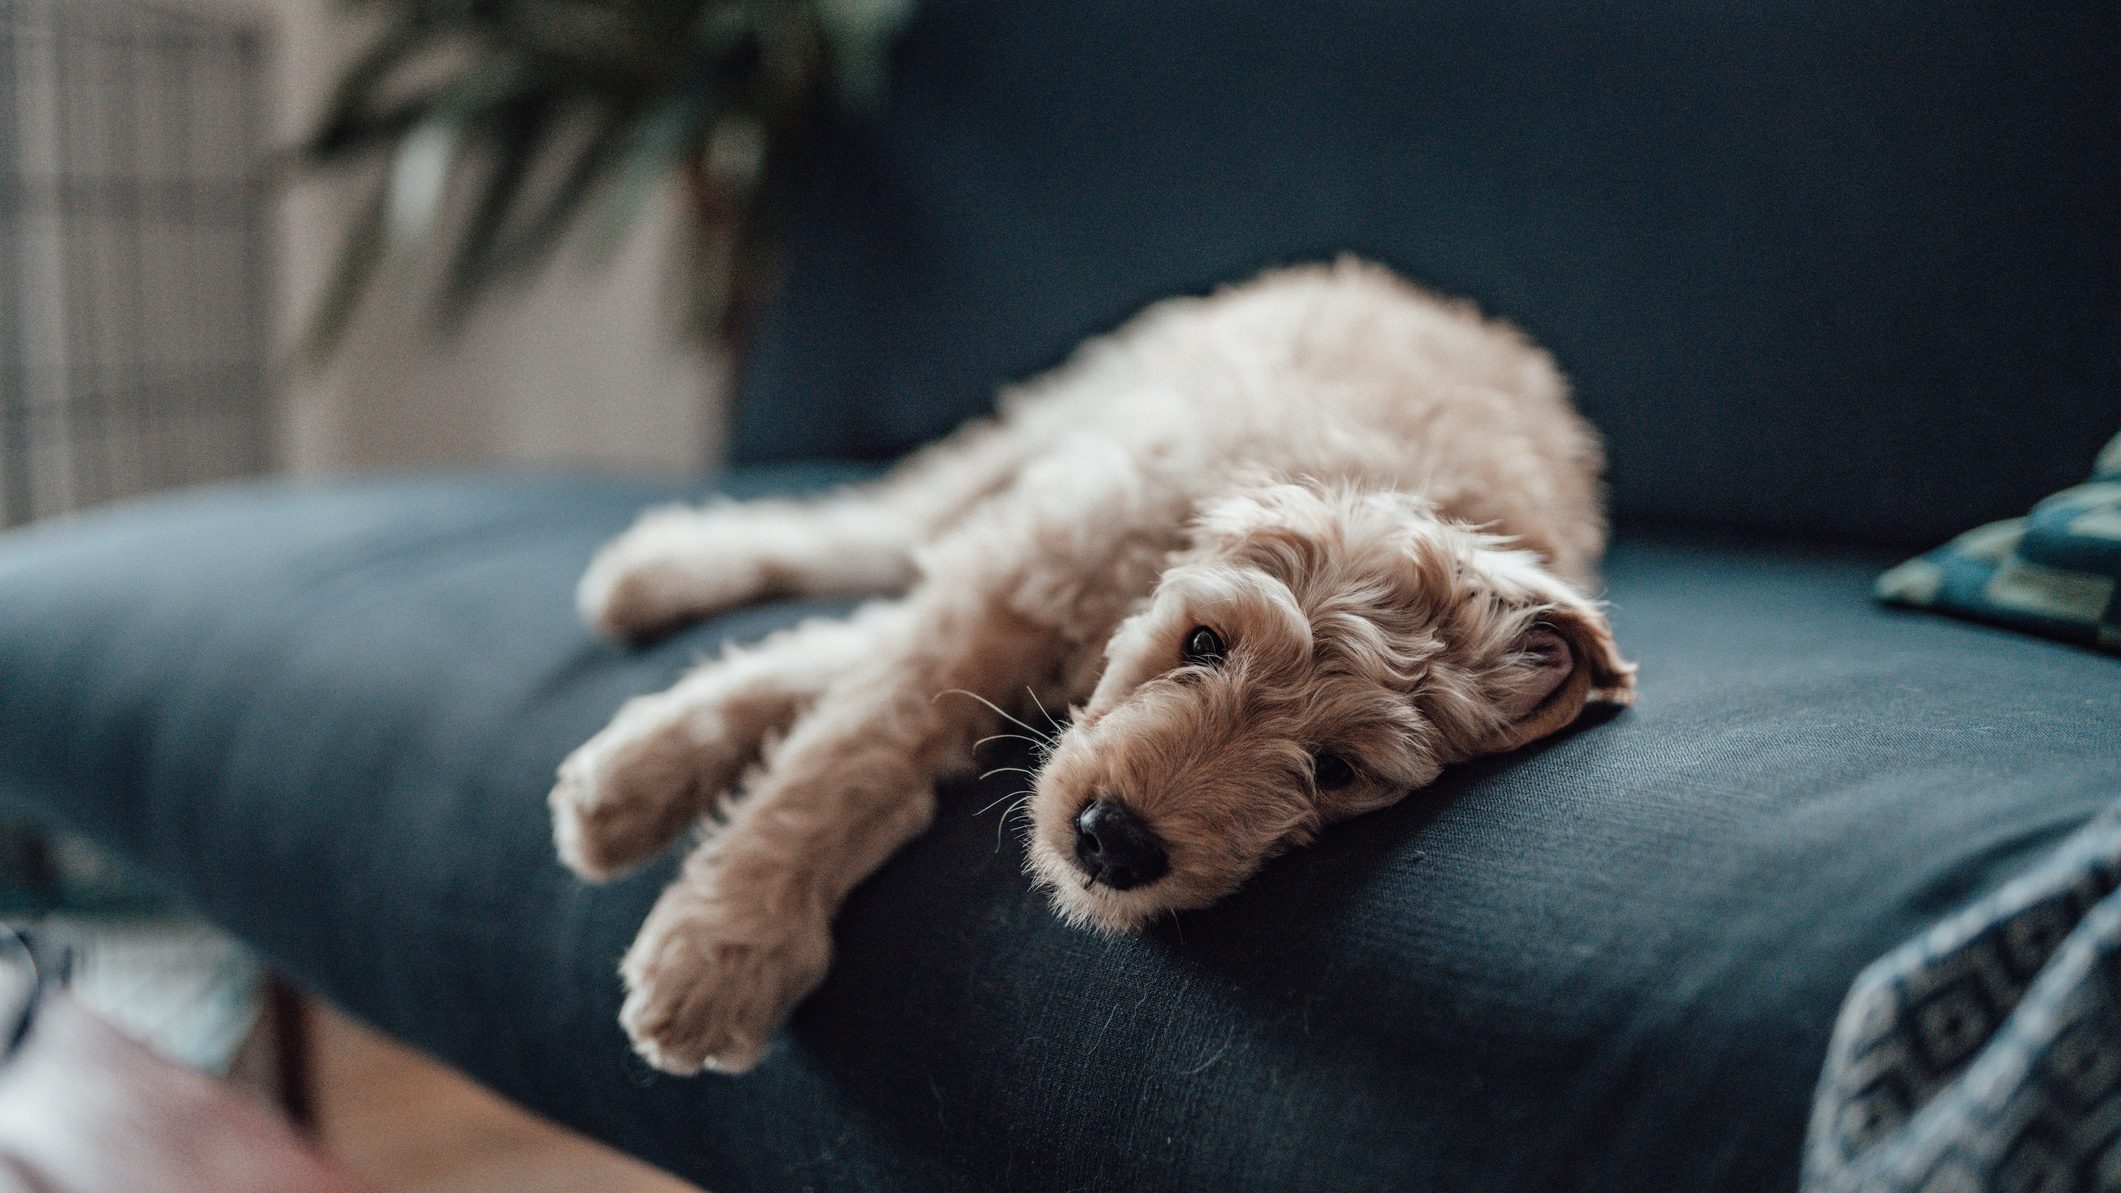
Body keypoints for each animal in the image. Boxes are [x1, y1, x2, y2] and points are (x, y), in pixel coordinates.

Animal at [551, 257, 1637, 1069]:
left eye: (1336, 770)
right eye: (1203, 642)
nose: (1113, 842)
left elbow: (857, 674)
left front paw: (645, 789)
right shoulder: (1032, 566)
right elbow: (853, 747)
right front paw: (724, 946)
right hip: (1064, 416)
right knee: (883, 527)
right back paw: (659, 571)